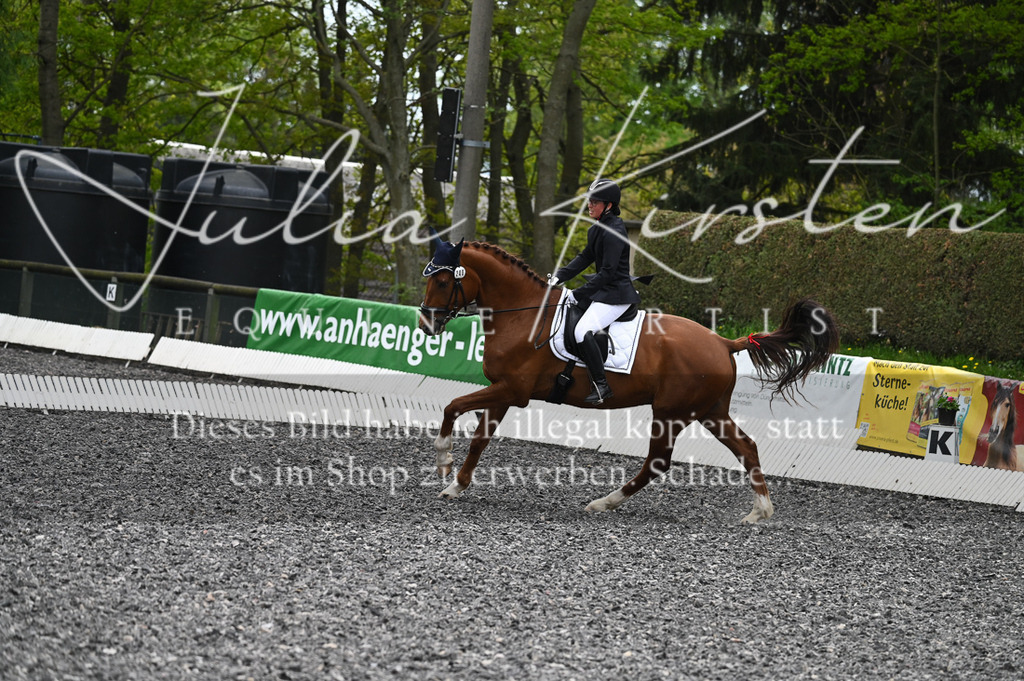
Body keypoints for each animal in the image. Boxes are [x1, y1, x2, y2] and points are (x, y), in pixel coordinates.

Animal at [418, 237, 839, 523]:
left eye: (443, 282)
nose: (425, 324)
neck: (523, 314)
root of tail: (722, 341)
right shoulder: (504, 393)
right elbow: (479, 439)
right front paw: (456, 484)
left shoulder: (512, 391)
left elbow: (452, 407)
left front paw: (442, 461)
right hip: (709, 411)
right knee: (746, 447)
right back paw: (759, 512)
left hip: (671, 412)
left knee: (658, 462)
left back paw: (603, 502)